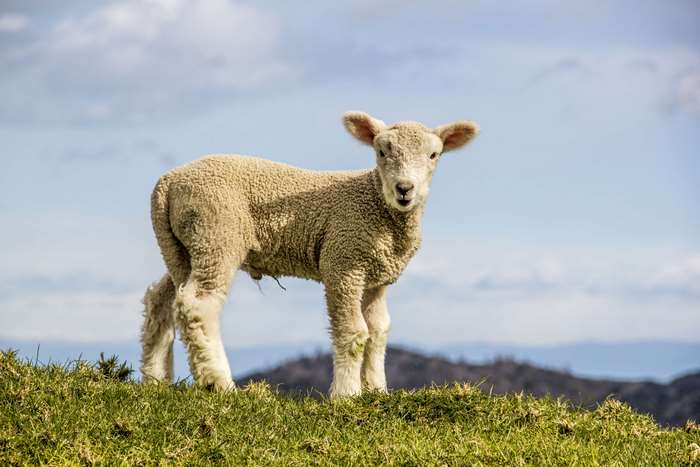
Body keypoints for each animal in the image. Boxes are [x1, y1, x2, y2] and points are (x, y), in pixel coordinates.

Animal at [140, 111, 479, 398]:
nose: (404, 189)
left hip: (182, 246)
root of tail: (167, 184)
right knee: (199, 304)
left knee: (162, 299)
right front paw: (347, 394)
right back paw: (219, 383)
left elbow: (378, 331)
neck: (377, 203)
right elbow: (354, 331)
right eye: (382, 152)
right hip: (217, 235)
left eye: (433, 155)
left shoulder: (376, 277)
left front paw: (377, 391)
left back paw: (156, 379)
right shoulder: (343, 261)